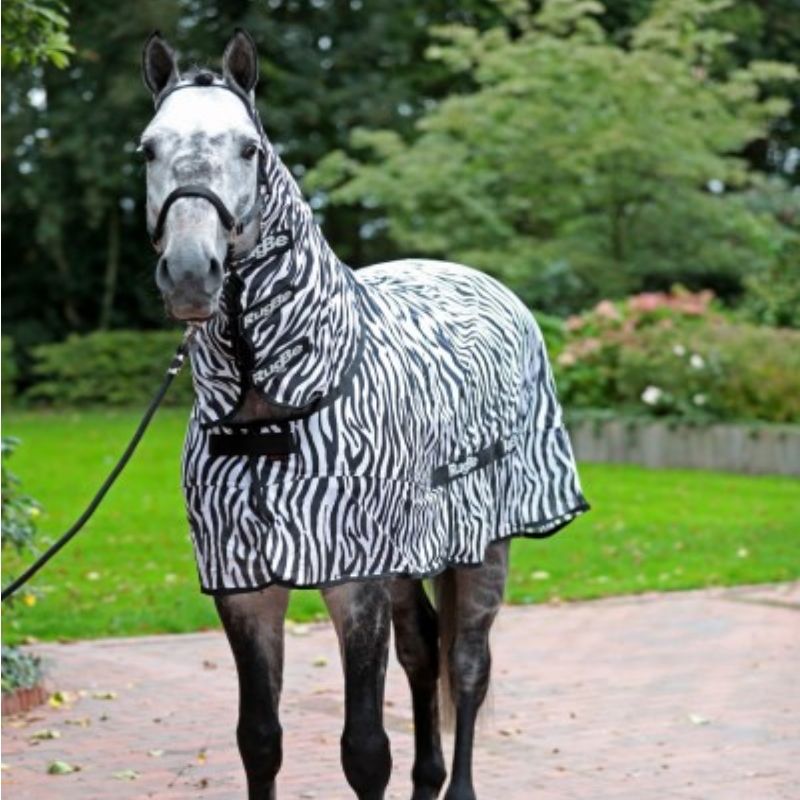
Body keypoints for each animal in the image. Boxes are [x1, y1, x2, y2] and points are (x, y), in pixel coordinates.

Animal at [139, 29, 588, 800]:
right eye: (147, 149)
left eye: (248, 149)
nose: (193, 274)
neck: (274, 415)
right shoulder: (245, 587)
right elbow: (259, 739)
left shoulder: (354, 581)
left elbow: (364, 749)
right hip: (407, 558)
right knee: (423, 651)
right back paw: (427, 780)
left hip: (486, 544)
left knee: (467, 665)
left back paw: (457, 783)